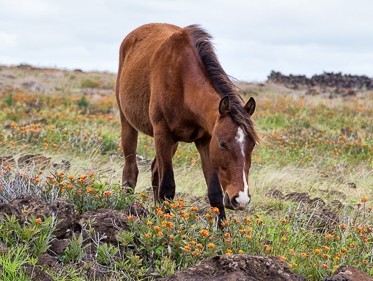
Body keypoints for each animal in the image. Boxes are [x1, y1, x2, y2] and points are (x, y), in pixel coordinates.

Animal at [116, 23, 258, 221]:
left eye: (252, 145)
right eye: (223, 144)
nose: (241, 199)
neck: (182, 79)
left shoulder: (205, 142)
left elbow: (214, 193)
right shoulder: (163, 134)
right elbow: (167, 188)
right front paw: (165, 226)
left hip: (173, 143)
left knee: (154, 171)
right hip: (129, 125)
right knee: (131, 172)